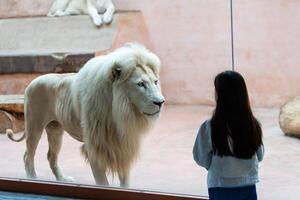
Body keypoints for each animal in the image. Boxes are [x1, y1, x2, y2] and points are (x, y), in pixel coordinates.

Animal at [7, 43, 165, 188]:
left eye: (155, 82)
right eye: (141, 84)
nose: (160, 102)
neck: (120, 113)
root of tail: (31, 82)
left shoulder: (122, 146)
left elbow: (125, 182)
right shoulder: (94, 148)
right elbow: (102, 182)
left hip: (56, 130)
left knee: (51, 156)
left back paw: (62, 179)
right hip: (34, 126)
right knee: (28, 155)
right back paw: (32, 178)